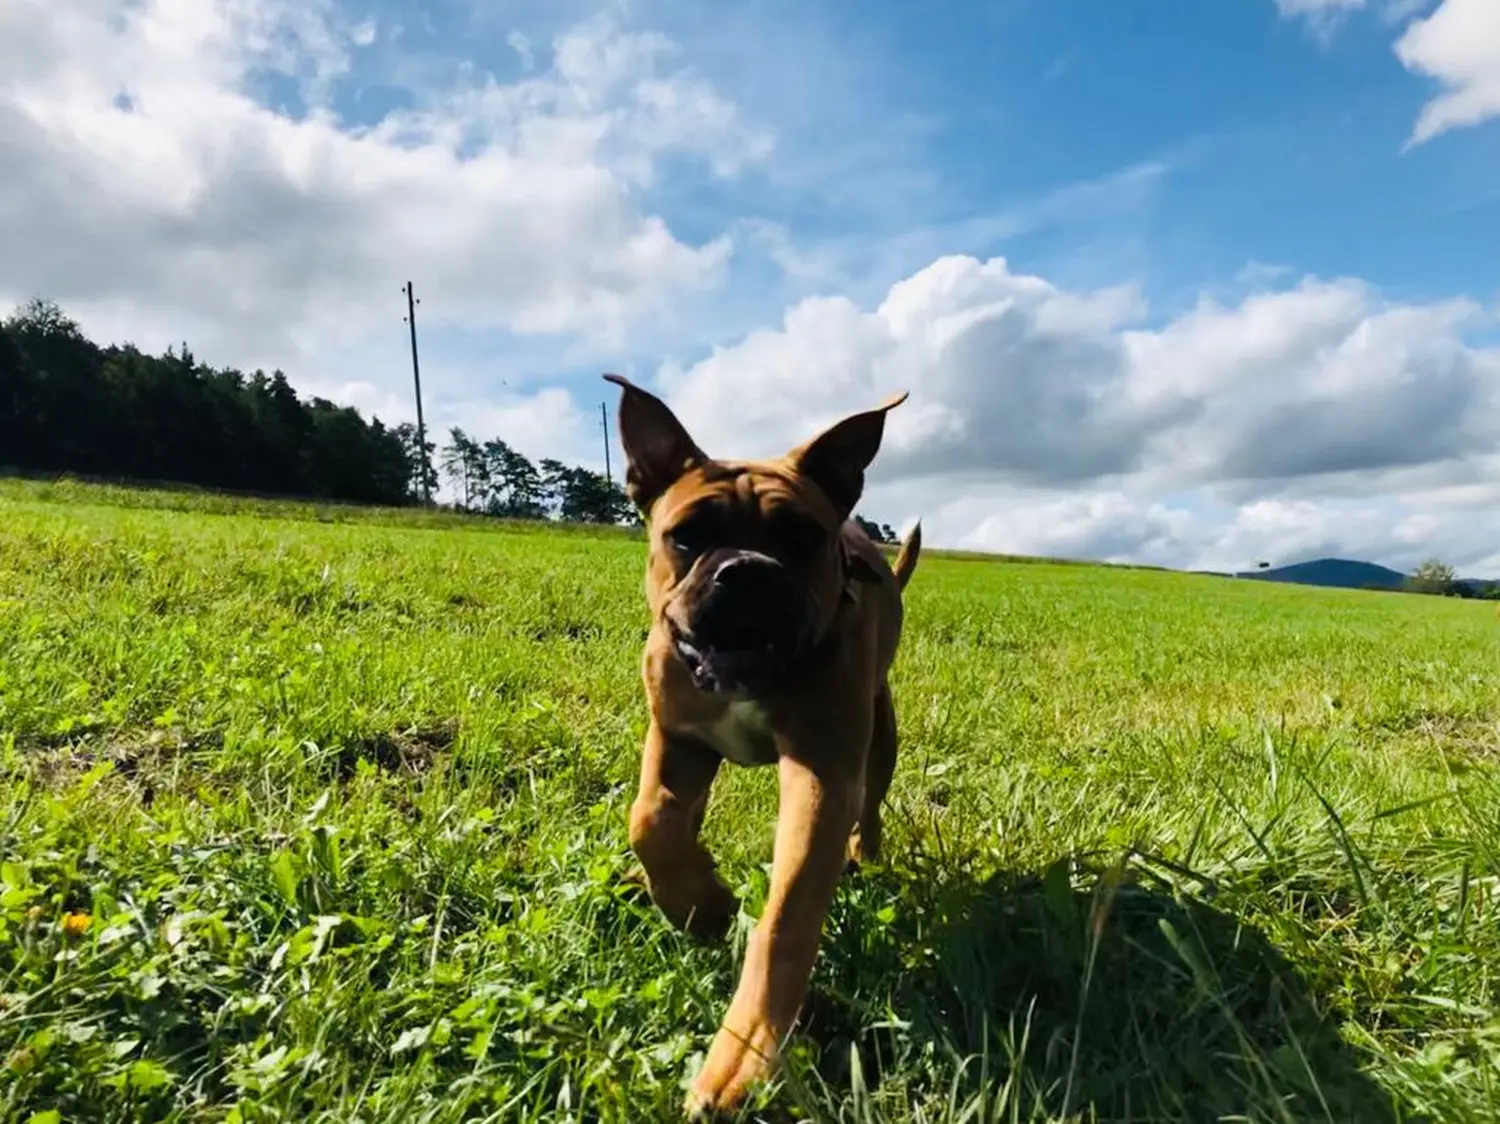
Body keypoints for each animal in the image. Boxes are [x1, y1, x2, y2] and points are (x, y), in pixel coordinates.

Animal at [603, 370, 918, 1116]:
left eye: (802, 537)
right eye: (686, 537)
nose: (746, 570)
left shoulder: (822, 775)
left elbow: (784, 921)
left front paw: (741, 1061)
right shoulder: (676, 738)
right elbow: (653, 820)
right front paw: (702, 904)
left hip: (880, 737)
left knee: (871, 808)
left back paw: (867, 856)